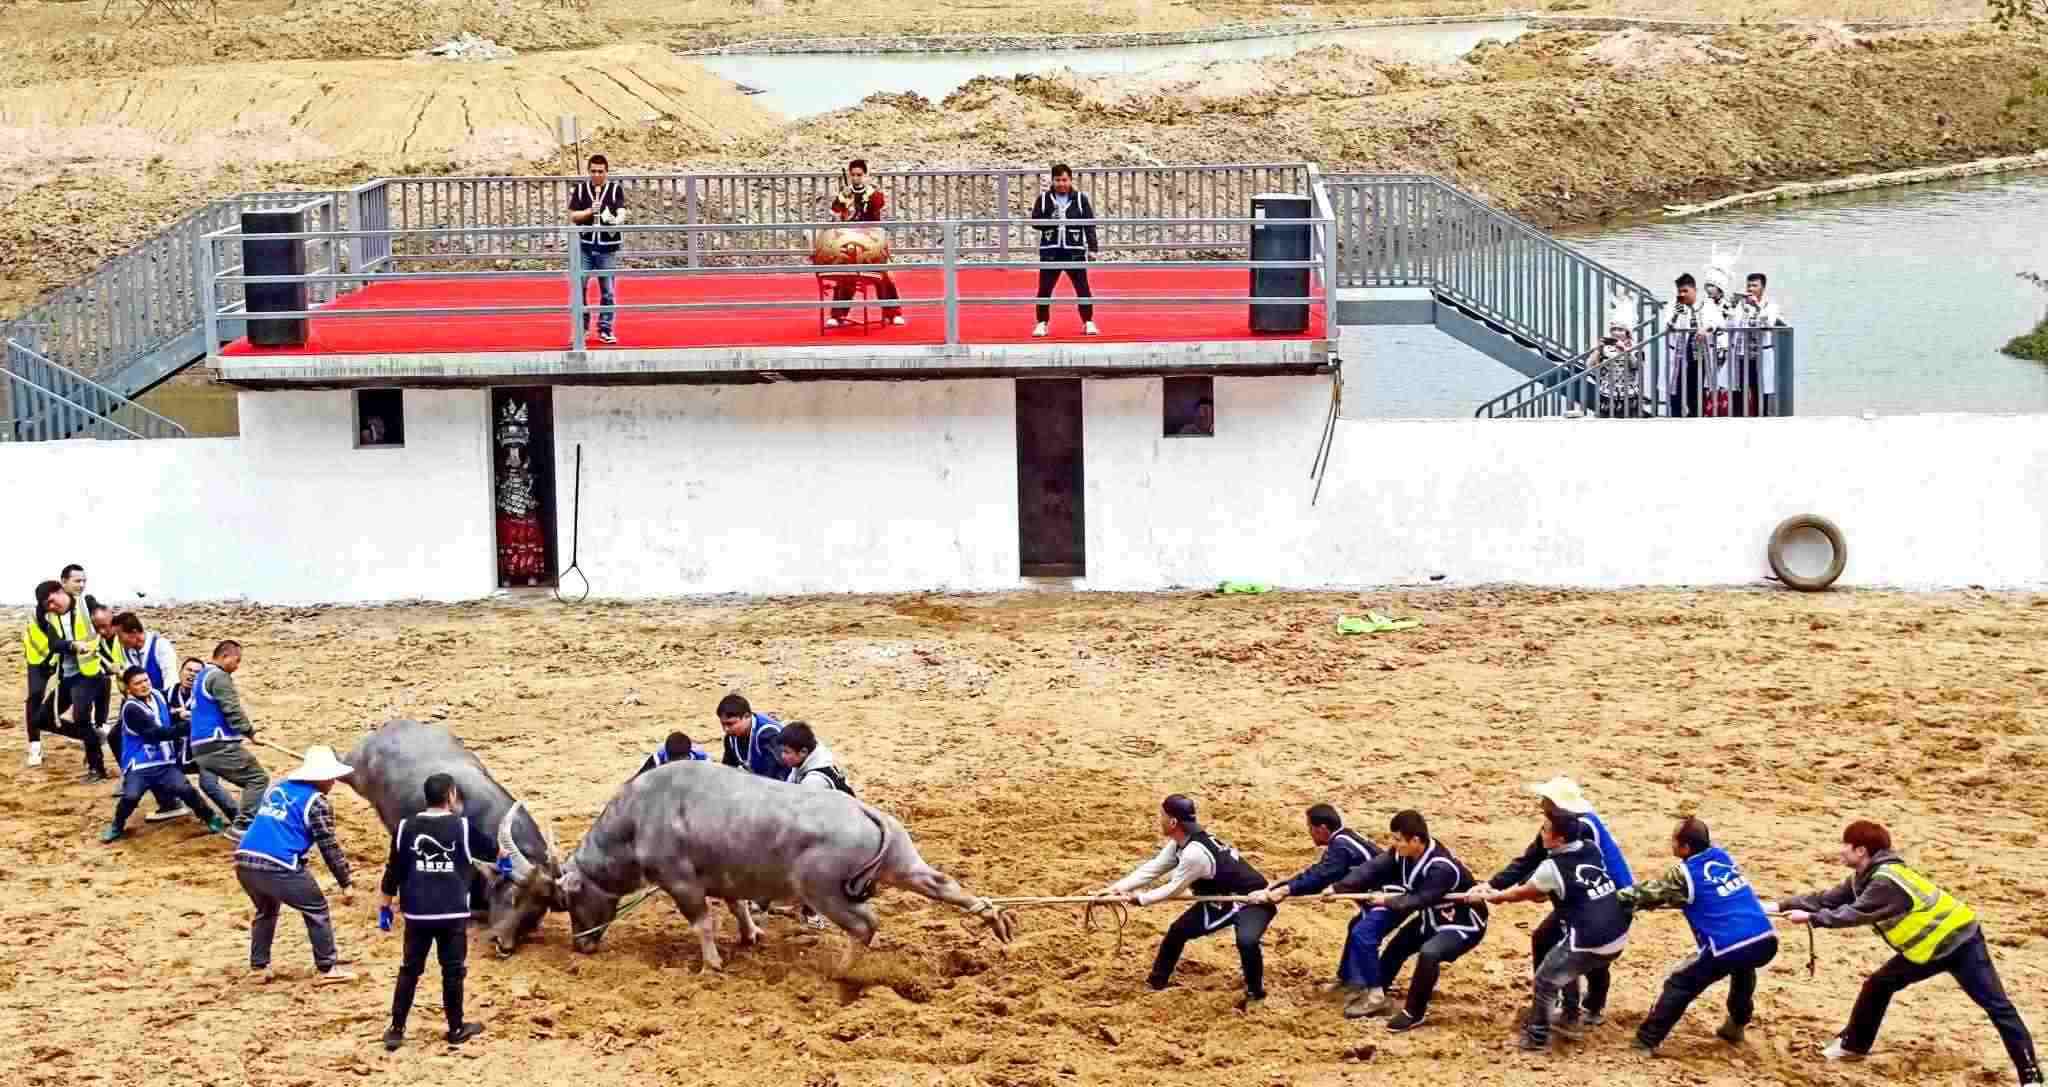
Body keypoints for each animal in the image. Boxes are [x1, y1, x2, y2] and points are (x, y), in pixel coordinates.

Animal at [502, 761, 1013, 971]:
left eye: (565, 899)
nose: (581, 946)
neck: (641, 815)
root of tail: (866, 812)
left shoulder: (681, 883)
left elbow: (703, 923)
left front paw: (712, 964)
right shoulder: (725, 878)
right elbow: (737, 906)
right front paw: (750, 935)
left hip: (824, 892)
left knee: (866, 924)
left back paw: (843, 971)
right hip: (904, 864)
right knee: (944, 884)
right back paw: (996, 918)